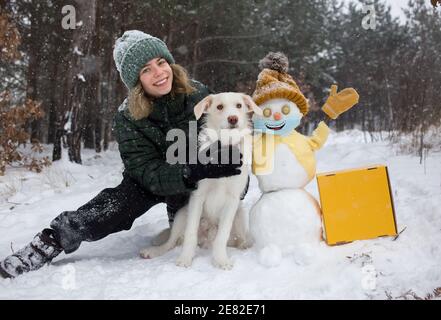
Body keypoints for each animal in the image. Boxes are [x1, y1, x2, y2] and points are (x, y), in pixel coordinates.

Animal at [141, 92, 262, 270]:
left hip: (239, 214)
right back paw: (153, 251)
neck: (224, 149)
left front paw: (221, 260)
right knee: (171, 242)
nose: (233, 118)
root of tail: (206, 240)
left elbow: (222, 236)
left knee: (237, 239)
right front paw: (185, 259)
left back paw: (244, 246)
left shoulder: (233, 200)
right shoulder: (198, 195)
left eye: (239, 105)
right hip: (181, 214)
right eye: (219, 107)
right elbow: (190, 234)